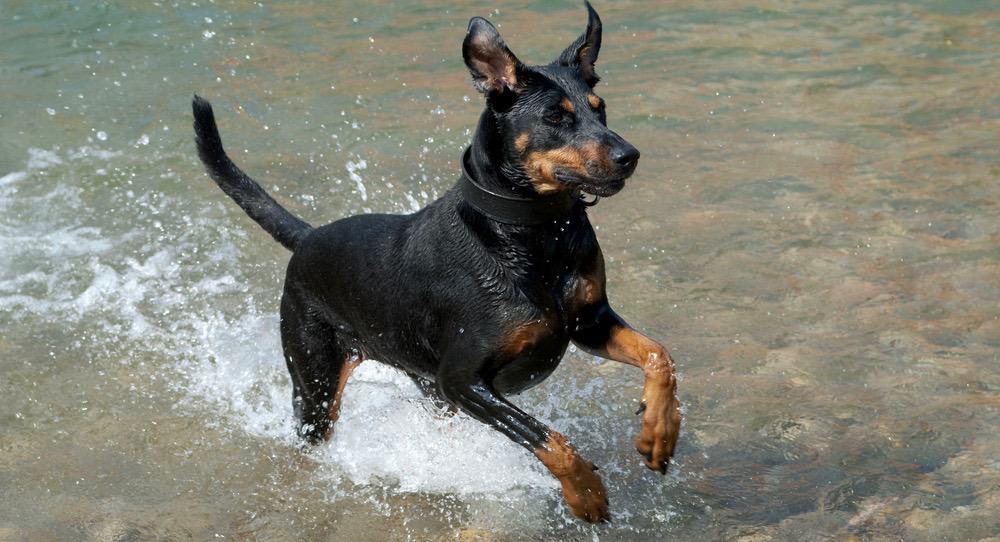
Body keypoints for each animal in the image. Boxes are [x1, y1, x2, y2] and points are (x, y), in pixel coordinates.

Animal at [191, 2, 680, 524]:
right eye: (555, 116)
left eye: (599, 106)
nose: (630, 155)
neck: (535, 233)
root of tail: (308, 238)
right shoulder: (461, 380)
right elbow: (547, 438)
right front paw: (587, 494)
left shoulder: (587, 322)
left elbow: (659, 355)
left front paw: (658, 435)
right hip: (317, 383)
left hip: (424, 388)